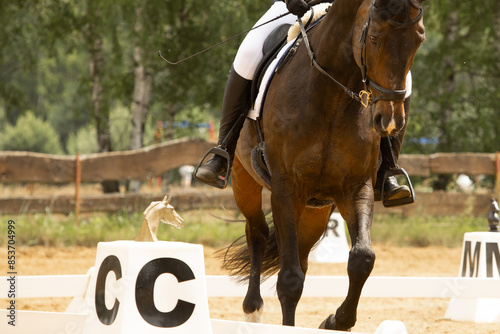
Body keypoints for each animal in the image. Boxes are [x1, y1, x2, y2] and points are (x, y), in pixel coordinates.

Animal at [225, 0, 424, 330]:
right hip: (245, 180)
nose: (389, 121)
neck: (333, 97)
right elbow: (289, 280)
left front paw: (335, 321)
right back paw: (252, 310)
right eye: (373, 38)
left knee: (301, 258)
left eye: (418, 40)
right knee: (258, 234)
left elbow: (362, 259)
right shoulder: (286, 189)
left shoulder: (355, 188)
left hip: (315, 209)